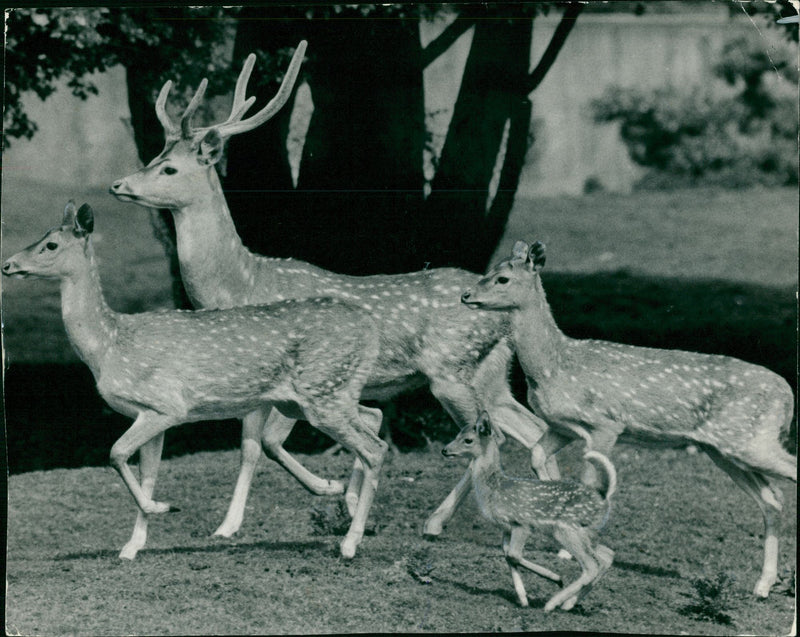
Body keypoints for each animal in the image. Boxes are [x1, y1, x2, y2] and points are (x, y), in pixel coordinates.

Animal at [0, 201, 388, 560]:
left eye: (50, 244)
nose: (8, 264)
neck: (109, 346)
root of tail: (370, 329)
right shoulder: (148, 414)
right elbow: (148, 473)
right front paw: (132, 546)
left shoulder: (166, 405)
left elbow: (115, 453)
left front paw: (161, 508)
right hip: (313, 397)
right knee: (374, 422)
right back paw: (341, 497)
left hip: (323, 393)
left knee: (373, 447)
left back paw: (349, 542)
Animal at [108, 38, 556, 548]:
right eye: (150, 158)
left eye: (168, 168)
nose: (118, 183)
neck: (244, 282)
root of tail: (503, 315)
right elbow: (249, 447)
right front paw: (229, 525)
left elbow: (267, 443)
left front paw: (336, 494)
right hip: (493, 374)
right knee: (529, 429)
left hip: (450, 371)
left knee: (491, 434)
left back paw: (437, 521)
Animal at [440, 412, 616, 612]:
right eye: (457, 435)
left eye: (468, 440)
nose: (445, 450)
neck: (493, 489)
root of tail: (603, 495)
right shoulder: (506, 528)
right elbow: (508, 556)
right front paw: (523, 599)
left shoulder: (521, 523)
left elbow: (514, 555)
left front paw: (555, 578)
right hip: (586, 532)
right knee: (606, 556)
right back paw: (568, 603)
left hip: (565, 529)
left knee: (591, 565)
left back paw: (552, 603)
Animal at [460, 238, 796, 596]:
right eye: (492, 269)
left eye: (503, 279)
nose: (466, 295)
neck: (553, 367)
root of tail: (788, 397)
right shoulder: (561, 426)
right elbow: (538, 455)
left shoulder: (606, 423)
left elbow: (589, 479)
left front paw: (572, 545)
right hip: (724, 449)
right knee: (772, 499)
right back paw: (762, 585)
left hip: (751, 440)